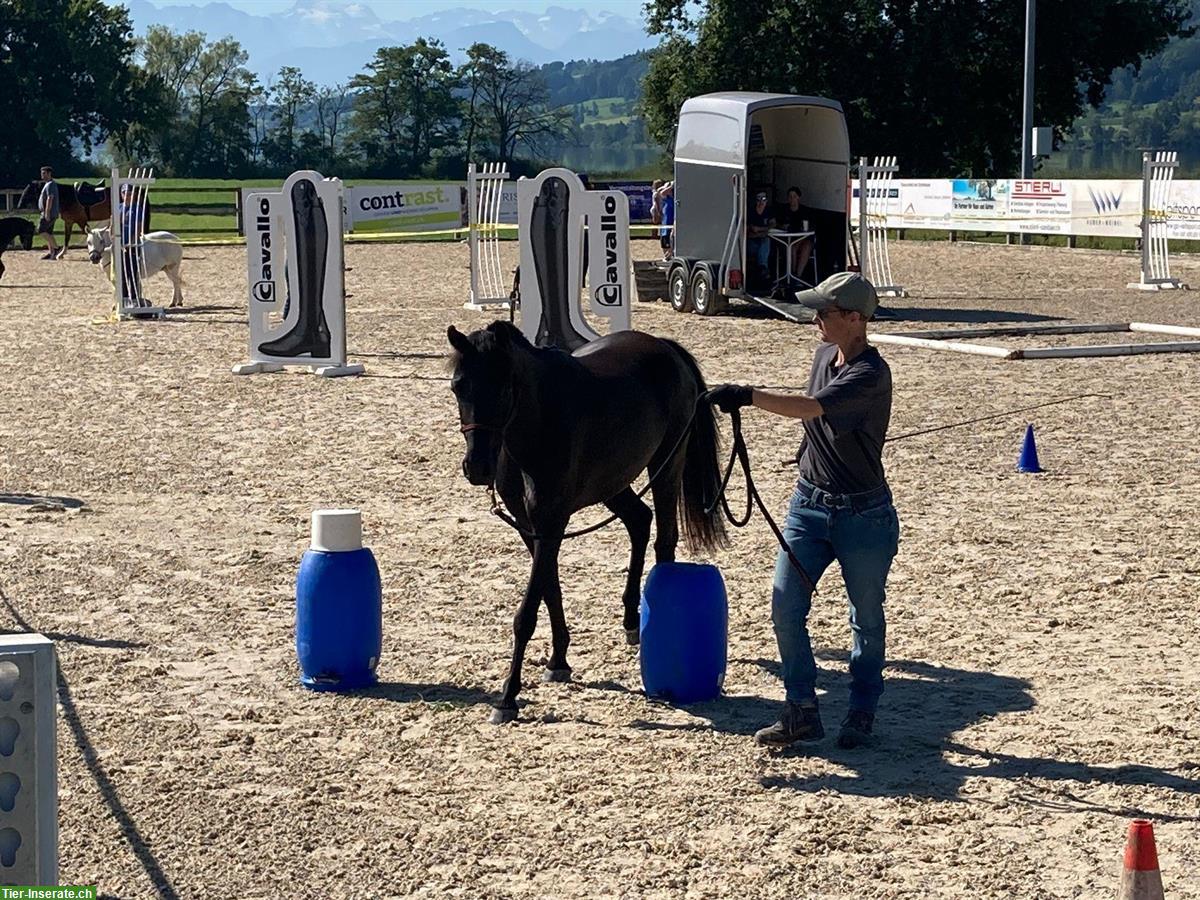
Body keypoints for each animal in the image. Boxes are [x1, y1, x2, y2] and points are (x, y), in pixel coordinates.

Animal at [448, 321, 724, 724]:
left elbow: (527, 613)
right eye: (458, 386)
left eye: (501, 387)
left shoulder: (551, 522)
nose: (478, 468)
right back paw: (630, 621)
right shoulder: (532, 526)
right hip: (614, 482)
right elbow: (550, 588)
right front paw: (559, 660)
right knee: (639, 522)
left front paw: (507, 697)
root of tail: (666, 348)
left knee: (664, 540)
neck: (538, 423)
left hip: (666, 466)